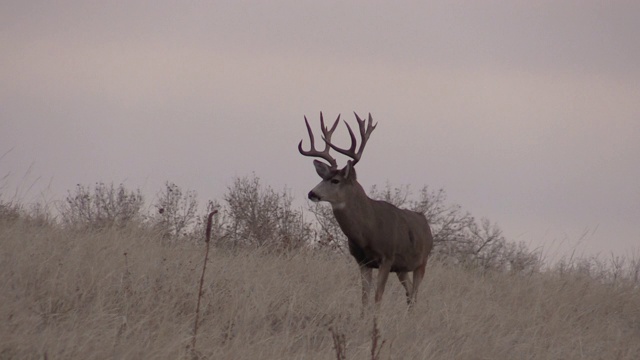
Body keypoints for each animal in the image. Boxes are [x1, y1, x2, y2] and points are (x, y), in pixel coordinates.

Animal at [300, 112, 436, 306]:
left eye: (335, 180)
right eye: (323, 177)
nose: (312, 193)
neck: (368, 231)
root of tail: (425, 222)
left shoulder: (387, 257)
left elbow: (378, 297)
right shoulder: (363, 261)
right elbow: (364, 298)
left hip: (422, 261)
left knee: (415, 294)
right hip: (402, 268)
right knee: (409, 293)